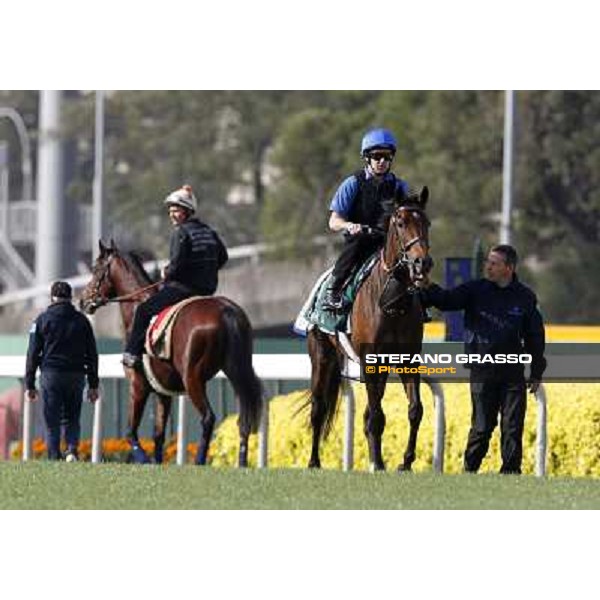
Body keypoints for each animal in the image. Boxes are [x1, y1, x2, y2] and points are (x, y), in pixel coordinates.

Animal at [78, 241, 262, 466]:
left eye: (96, 269)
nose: (82, 301)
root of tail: (226, 310)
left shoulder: (138, 386)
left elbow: (131, 432)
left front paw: (144, 460)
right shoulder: (162, 392)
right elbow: (158, 434)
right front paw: (157, 462)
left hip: (192, 379)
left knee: (208, 417)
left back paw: (199, 461)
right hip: (236, 373)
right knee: (244, 417)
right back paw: (242, 462)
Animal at [310, 188, 432, 474]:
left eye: (427, 223)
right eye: (401, 223)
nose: (422, 262)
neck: (391, 302)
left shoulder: (407, 359)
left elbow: (415, 410)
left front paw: (405, 462)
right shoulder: (370, 360)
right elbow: (376, 415)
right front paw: (377, 462)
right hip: (321, 354)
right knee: (318, 407)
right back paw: (314, 461)